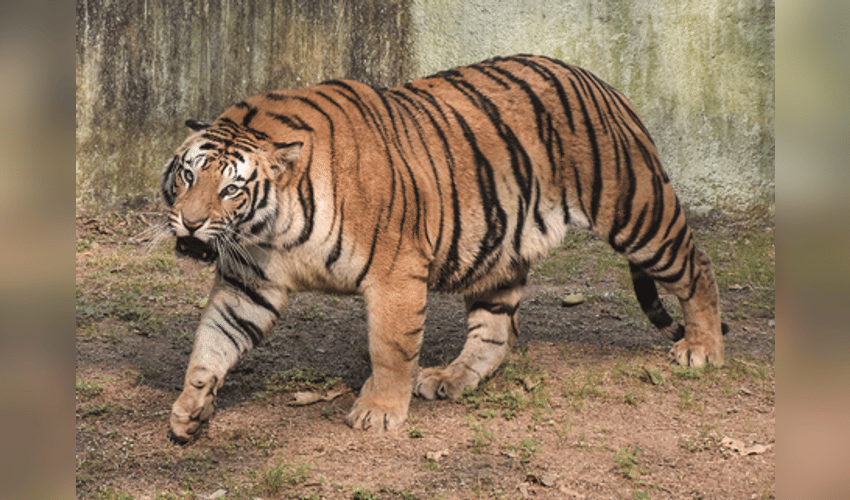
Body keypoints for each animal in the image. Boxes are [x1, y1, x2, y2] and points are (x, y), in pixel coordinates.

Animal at [158, 54, 726, 444]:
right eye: (187, 176)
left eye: (231, 189)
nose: (191, 223)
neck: (268, 229)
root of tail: (600, 80)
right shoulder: (248, 283)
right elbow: (212, 342)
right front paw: (190, 408)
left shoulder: (395, 272)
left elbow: (390, 347)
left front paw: (379, 410)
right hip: (500, 251)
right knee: (496, 331)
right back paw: (451, 378)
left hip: (637, 214)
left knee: (696, 266)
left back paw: (703, 349)